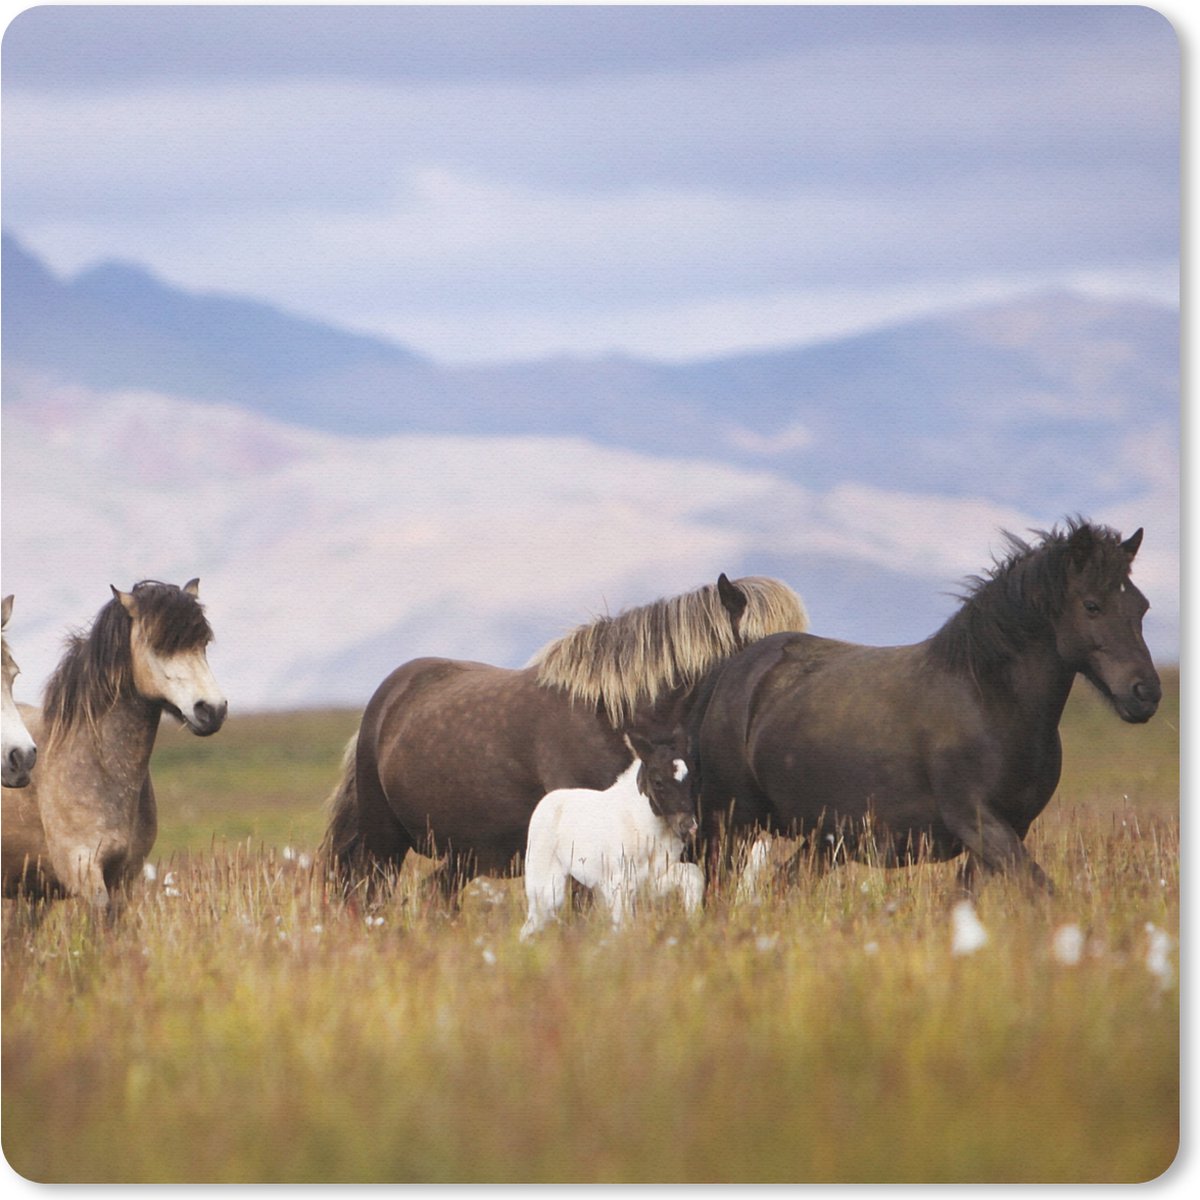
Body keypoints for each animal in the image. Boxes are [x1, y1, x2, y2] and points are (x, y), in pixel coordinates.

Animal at [520, 726, 704, 939]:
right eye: (658, 782)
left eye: (692, 778)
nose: (688, 825)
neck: (643, 827)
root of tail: (546, 801)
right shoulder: (620, 883)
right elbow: (624, 927)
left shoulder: (653, 880)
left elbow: (694, 874)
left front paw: (693, 921)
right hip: (546, 888)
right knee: (531, 926)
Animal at [689, 519, 1161, 893]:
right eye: (1092, 605)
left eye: (1141, 606)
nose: (1146, 693)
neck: (989, 699)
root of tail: (739, 666)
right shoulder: (979, 823)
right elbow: (1042, 891)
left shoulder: (1006, 830)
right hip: (733, 824)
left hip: (824, 840)